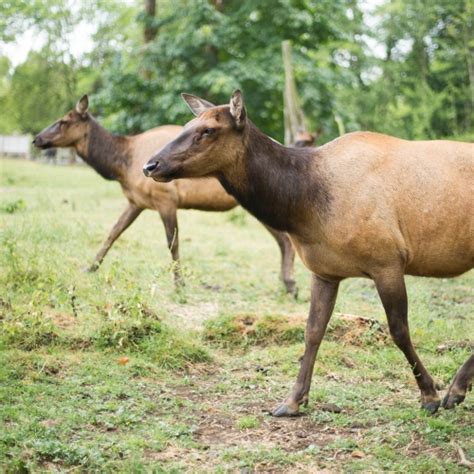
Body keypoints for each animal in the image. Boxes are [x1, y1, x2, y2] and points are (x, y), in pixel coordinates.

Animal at [34, 95, 300, 292]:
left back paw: (290, 284)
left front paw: (179, 283)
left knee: (286, 239)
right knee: (282, 240)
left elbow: (172, 242)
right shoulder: (135, 201)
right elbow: (113, 233)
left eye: (63, 121)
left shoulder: (166, 199)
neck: (121, 165)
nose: (37, 139)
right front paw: (91, 267)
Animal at [144, 90, 474, 414]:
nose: (150, 165)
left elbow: (399, 330)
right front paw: (292, 400)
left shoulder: (388, 261)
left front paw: (429, 394)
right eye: (187, 125)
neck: (302, 206)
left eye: (208, 130)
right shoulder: (323, 270)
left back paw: (455, 389)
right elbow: (313, 330)